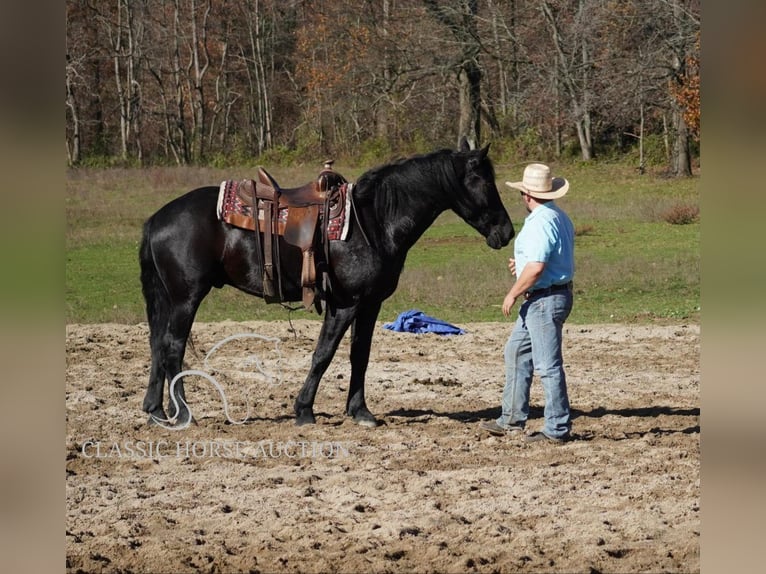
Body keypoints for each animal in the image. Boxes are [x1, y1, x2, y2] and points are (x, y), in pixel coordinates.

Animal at [142, 140, 520, 428]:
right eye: (485, 182)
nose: (506, 232)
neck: (375, 221)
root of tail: (156, 219)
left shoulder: (370, 304)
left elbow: (359, 355)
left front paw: (360, 411)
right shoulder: (345, 303)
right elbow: (323, 353)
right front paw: (304, 410)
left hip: (168, 299)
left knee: (158, 345)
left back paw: (157, 410)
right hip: (186, 298)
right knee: (173, 347)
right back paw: (183, 414)